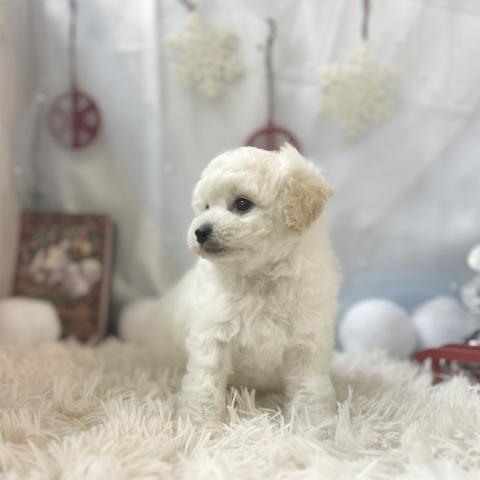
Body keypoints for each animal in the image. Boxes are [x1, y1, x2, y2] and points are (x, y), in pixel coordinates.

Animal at [120, 144, 340, 427]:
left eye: (242, 204)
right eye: (205, 207)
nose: (200, 231)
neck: (259, 277)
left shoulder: (307, 341)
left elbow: (310, 387)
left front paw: (316, 426)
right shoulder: (212, 335)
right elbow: (205, 382)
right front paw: (198, 424)